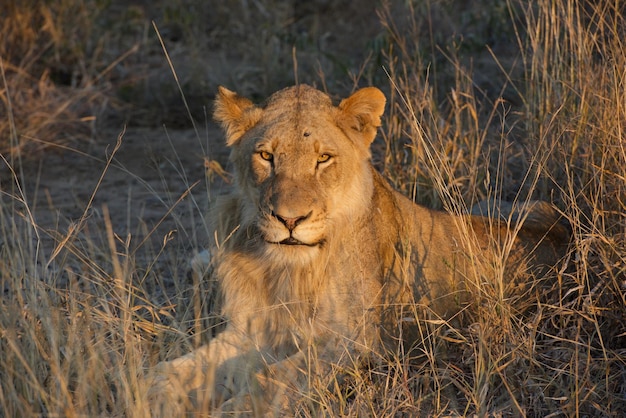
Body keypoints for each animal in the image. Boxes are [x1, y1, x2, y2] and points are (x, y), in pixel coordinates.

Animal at [149, 84, 568, 414]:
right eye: (266, 156)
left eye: (323, 159)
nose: (289, 220)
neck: (289, 271)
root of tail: (563, 234)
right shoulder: (251, 331)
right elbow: (171, 372)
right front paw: (149, 395)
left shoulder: (357, 343)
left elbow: (271, 378)